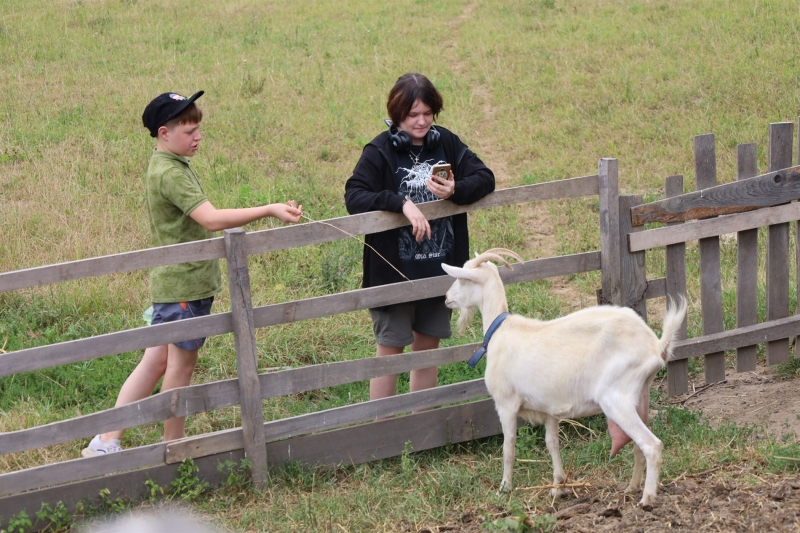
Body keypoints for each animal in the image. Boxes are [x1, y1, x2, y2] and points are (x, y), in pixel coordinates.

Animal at [440, 247, 684, 504]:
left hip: (616, 398)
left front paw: (504, 488)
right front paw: (558, 484)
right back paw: (632, 486)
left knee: (652, 445)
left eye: (463, 279)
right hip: (641, 394)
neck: (498, 331)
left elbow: (509, 446)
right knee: (638, 444)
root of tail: (656, 345)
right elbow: (552, 444)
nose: (446, 298)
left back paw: (647, 497)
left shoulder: (506, 403)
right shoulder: (549, 408)